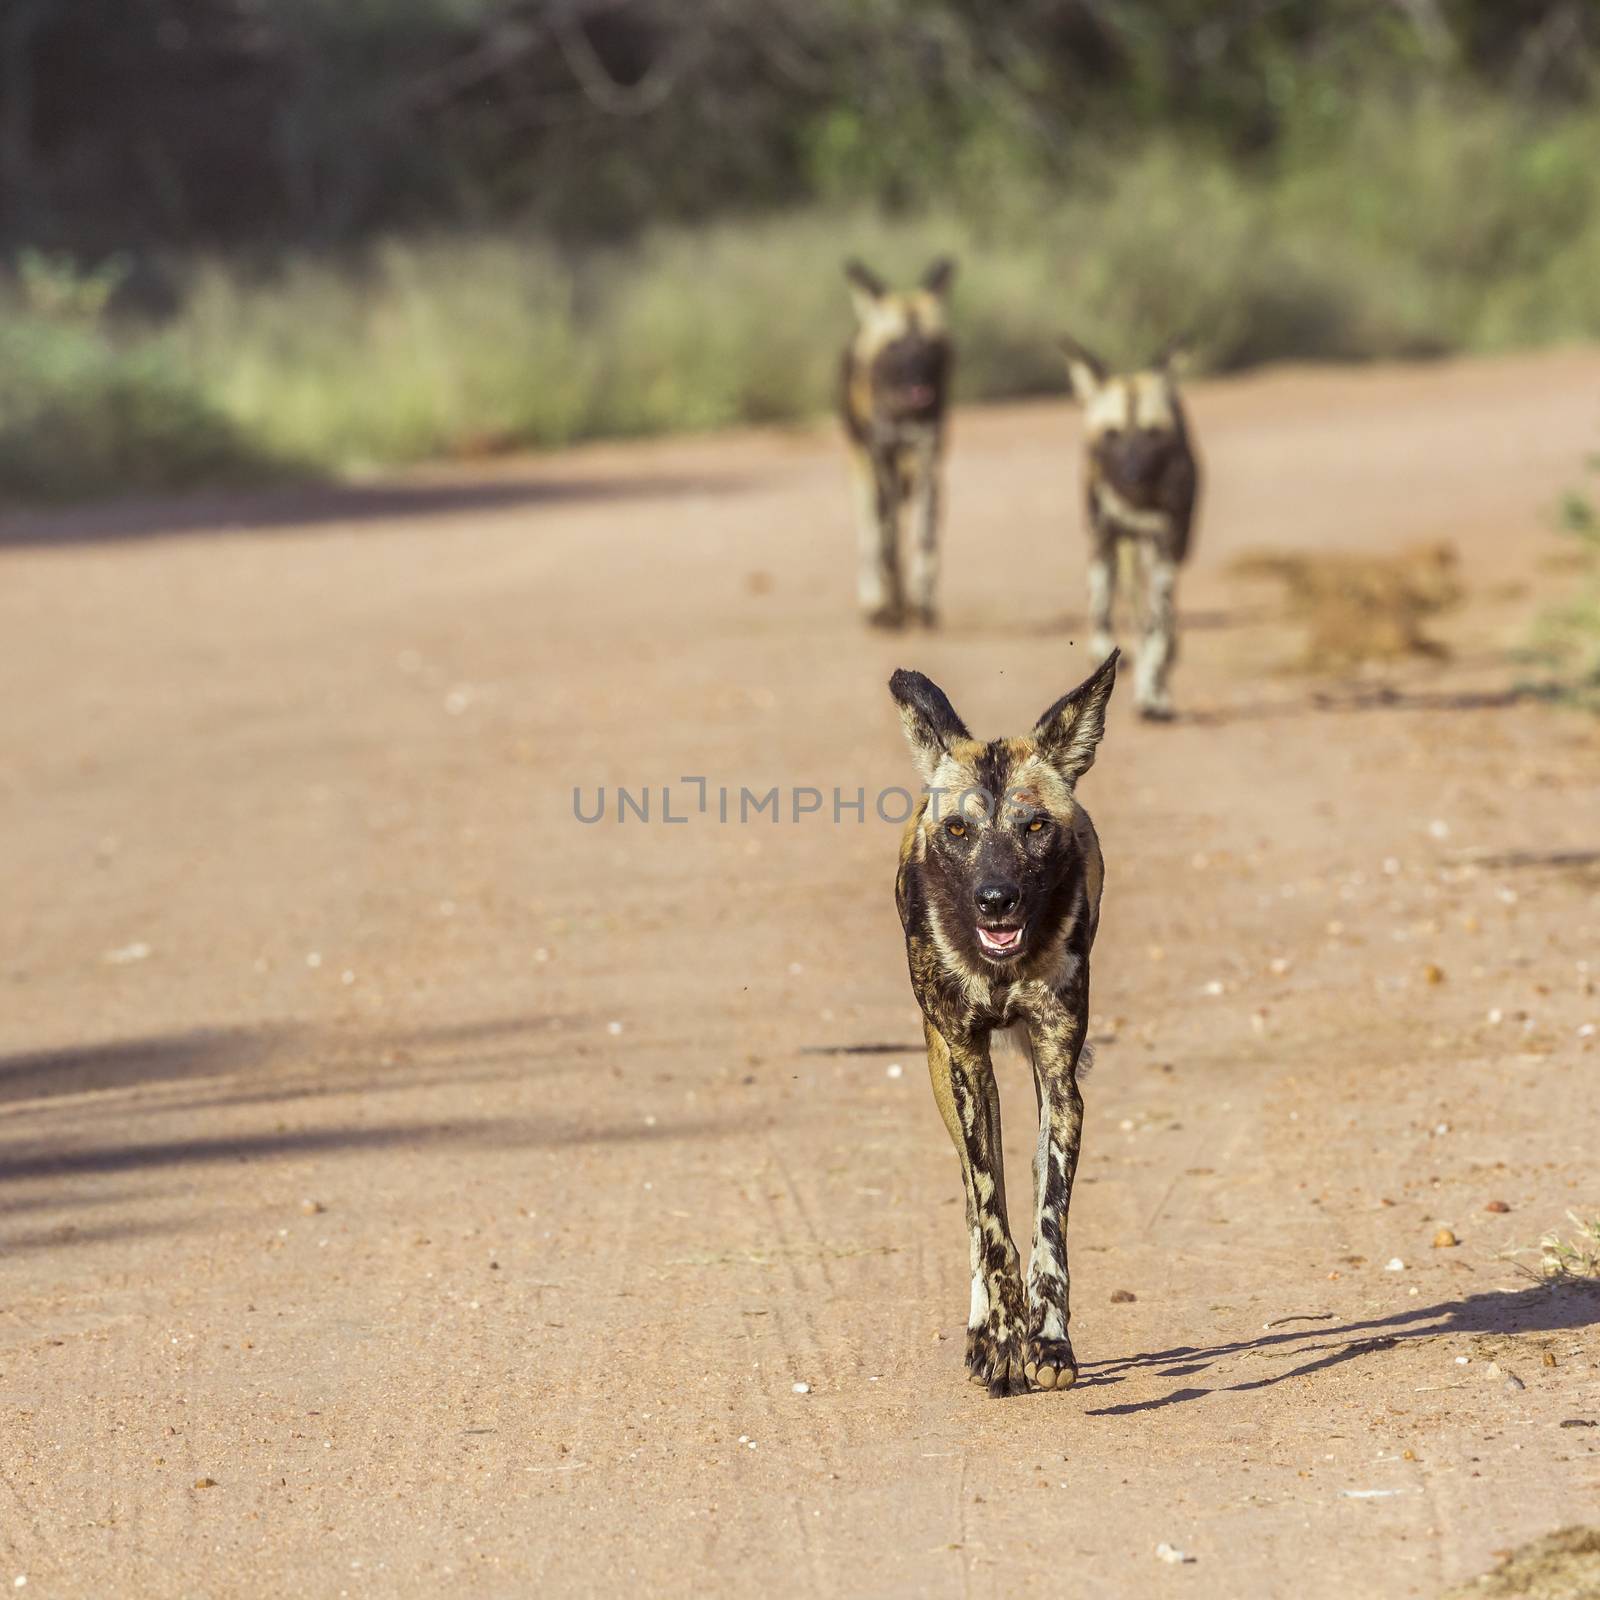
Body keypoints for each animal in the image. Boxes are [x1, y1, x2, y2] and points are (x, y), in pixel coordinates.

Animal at [844, 256, 953, 624]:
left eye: (931, 346)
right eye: (895, 346)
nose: (919, 377)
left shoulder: (927, 457)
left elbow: (925, 536)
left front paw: (922, 602)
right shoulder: (882, 456)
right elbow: (886, 539)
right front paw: (887, 602)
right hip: (866, 469)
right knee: (872, 529)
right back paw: (877, 599)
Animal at [889, 649, 1126, 1401]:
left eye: (1035, 828)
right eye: (960, 831)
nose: (997, 900)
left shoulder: (1060, 1074)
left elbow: (1049, 1224)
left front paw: (1048, 1342)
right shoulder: (966, 1063)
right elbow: (992, 1221)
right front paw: (1002, 1338)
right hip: (949, 1074)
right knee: (972, 1199)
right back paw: (984, 1331)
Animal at [1062, 337, 1203, 720]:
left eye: (1152, 434)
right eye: (1112, 435)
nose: (1132, 474)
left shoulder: (1164, 546)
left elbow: (1157, 624)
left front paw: (1153, 691)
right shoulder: (1103, 539)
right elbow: (1101, 609)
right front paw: (1101, 652)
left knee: (1159, 621)